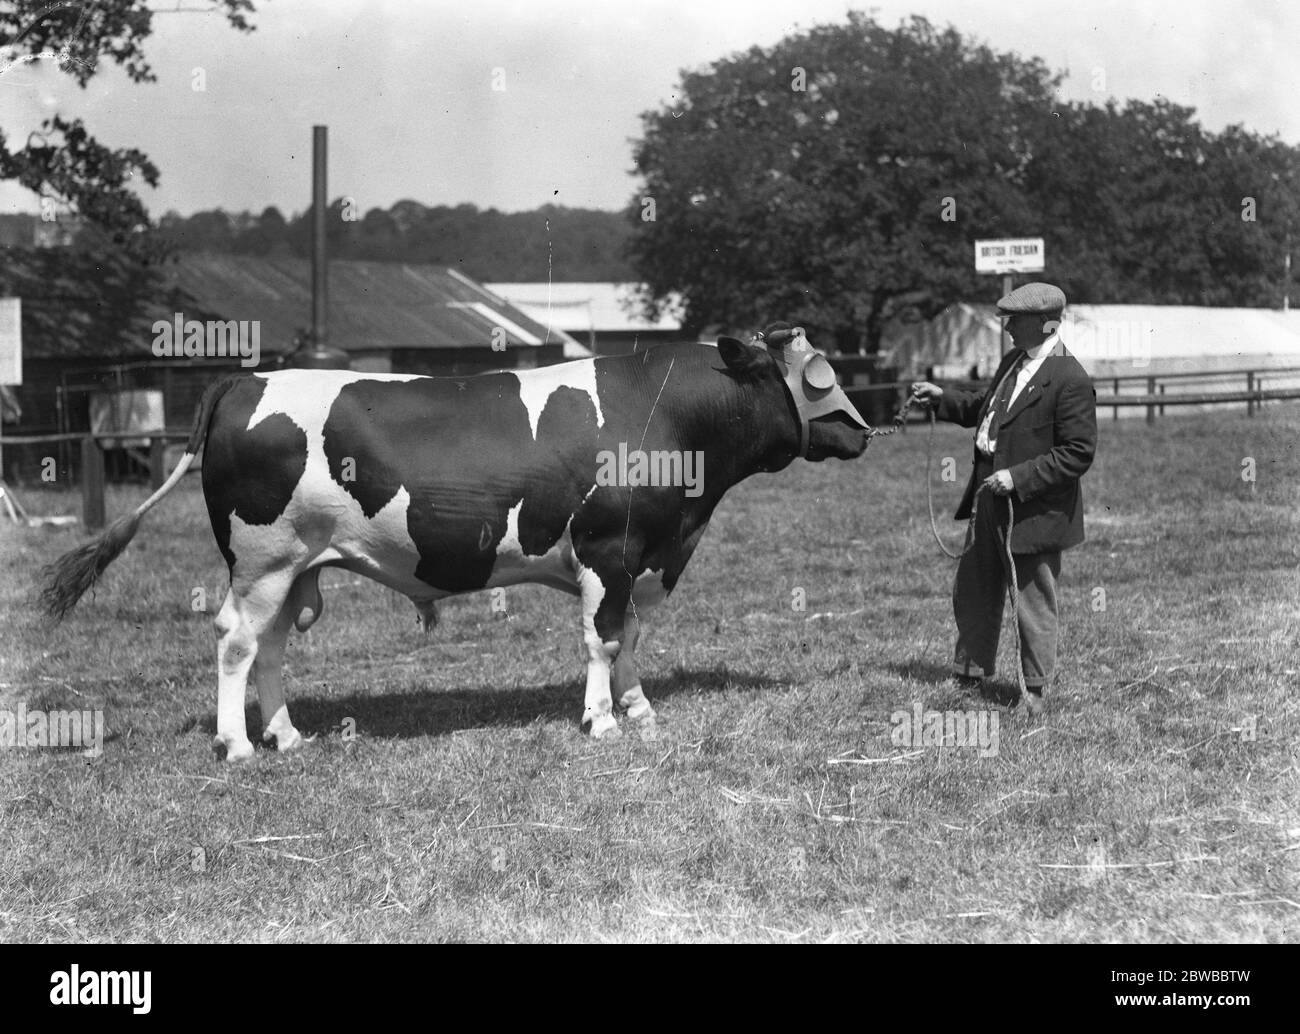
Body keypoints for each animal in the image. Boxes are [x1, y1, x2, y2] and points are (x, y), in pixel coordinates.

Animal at [41, 328, 870, 761]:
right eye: (815, 375)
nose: (863, 430)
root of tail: (247, 380)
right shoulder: (609, 549)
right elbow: (603, 638)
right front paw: (601, 718)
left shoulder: (644, 556)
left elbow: (631, 633)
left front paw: (637, 707)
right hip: (262, 561)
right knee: (234, 643)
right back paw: (237, 745)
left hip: (293, 568)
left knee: (269, 648)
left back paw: (285, 734)